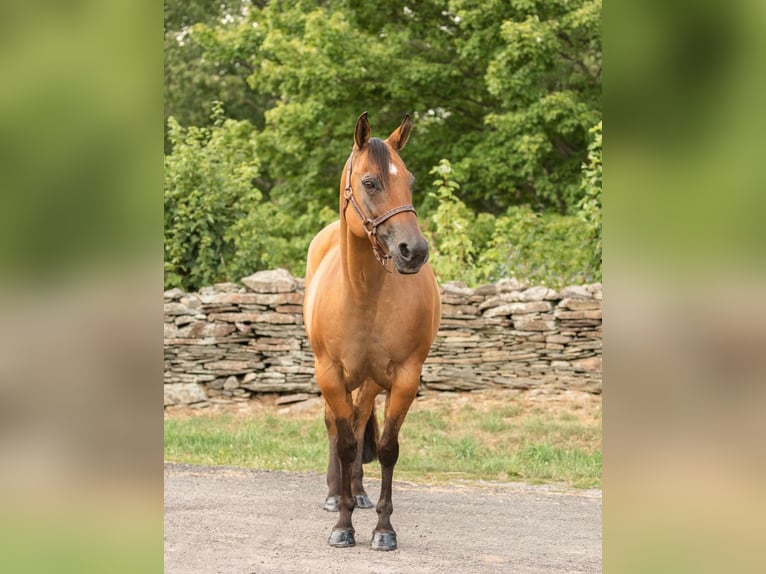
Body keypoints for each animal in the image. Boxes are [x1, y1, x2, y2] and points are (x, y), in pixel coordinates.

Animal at [304, 113, 440, 552]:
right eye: (370, 182)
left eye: (409, 180)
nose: (413, 251)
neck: (363, 294)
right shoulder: (330, 374)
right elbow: (347, 444)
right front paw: (342, 525)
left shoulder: (404, 379)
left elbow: (386, 448)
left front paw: (383, 529)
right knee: (336, 425)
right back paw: (336, 495)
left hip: (369, 382)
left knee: (361, 417)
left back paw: (359, 493)